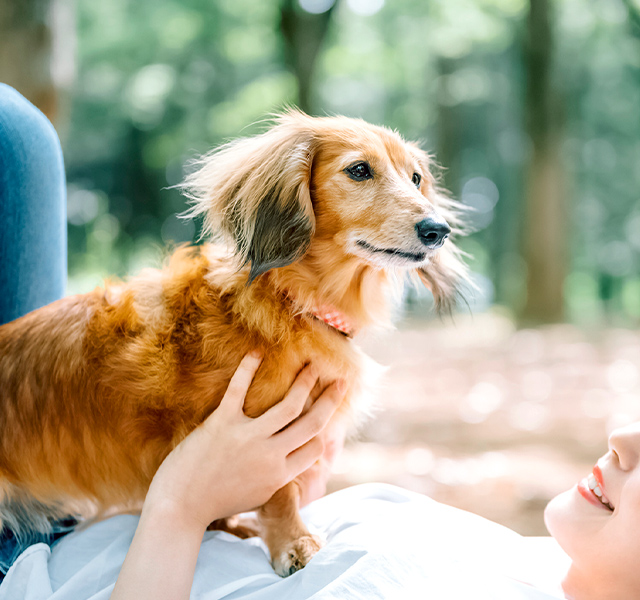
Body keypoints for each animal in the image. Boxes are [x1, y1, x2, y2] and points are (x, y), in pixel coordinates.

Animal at [0, 109, 468, 576]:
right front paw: (292, 541)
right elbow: (280, 491)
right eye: (358, 170)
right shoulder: (263, 429)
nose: (437, 230)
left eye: (415, 178)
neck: (291, 300)